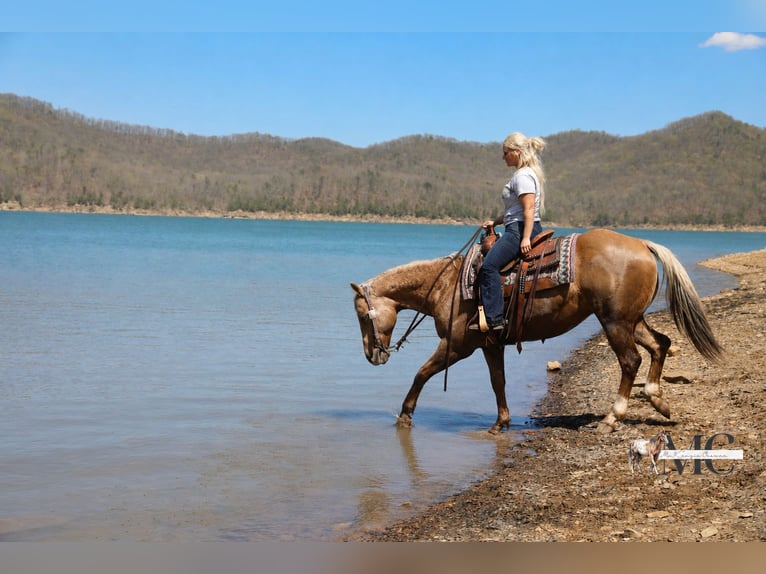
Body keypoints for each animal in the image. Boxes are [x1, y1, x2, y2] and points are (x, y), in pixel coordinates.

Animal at [351, 228, 723, 434]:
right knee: (660, 345)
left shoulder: (456, 345)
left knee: (630, 360)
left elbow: (421, 373)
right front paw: (501, 422)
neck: (448, 285)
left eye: (362, 316)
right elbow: (497, 381)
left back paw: (612, 418)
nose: (371, 355)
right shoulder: (490, 344)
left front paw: (405, 415)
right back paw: (658, 400)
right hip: (632, 319)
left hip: (615, 322)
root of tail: (642, 245)